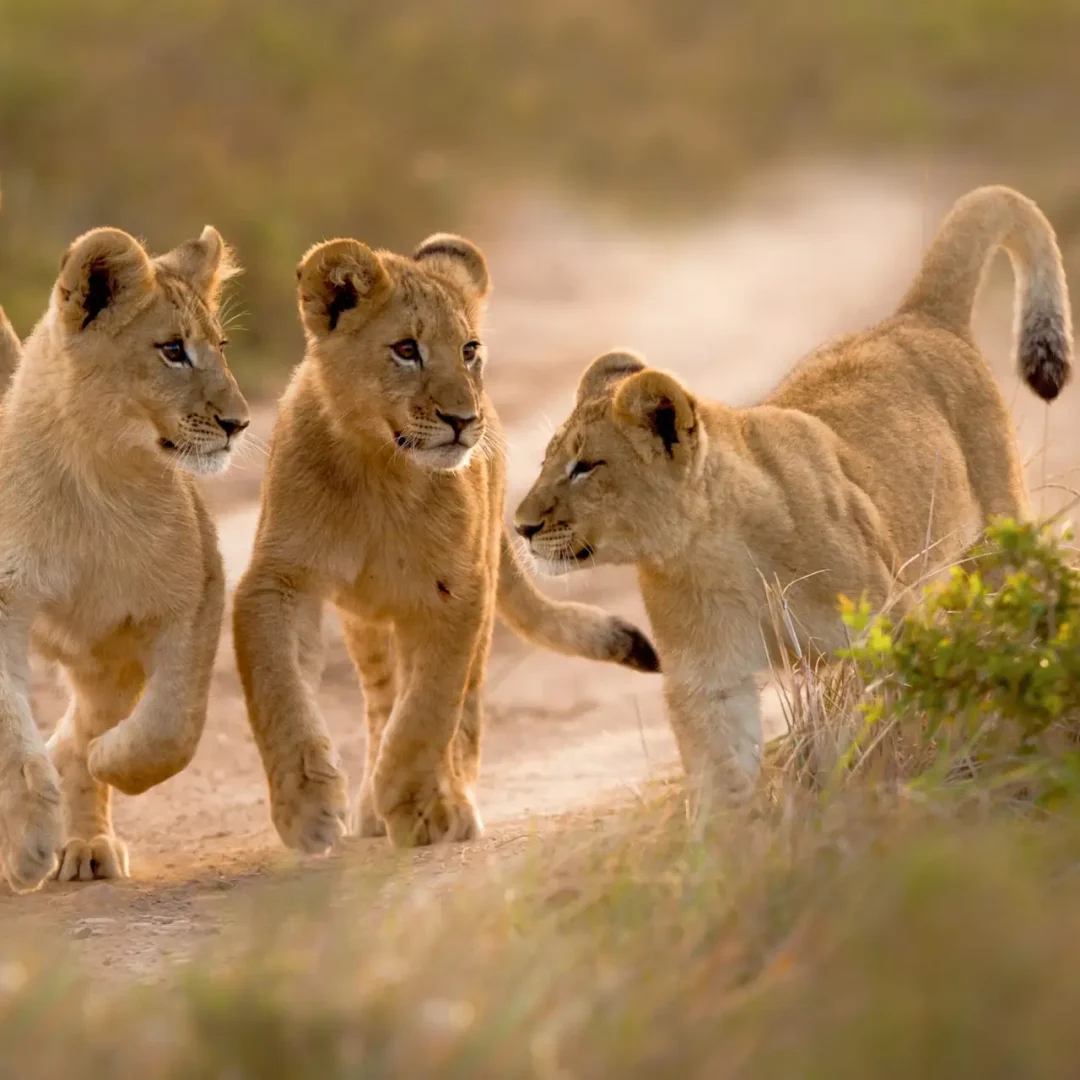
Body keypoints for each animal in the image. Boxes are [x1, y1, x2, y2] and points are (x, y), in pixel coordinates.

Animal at [0, 223, 249, 891]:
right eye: (172, 350)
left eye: (220, 347)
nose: (239, 422)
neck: (99, 482)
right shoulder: (4, 603)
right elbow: (12, 734)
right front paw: (28, 843)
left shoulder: (194, 595)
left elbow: (172, 725)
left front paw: (108, 759)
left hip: (102, 657)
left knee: (81, 728)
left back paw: (87, 842)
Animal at [232, 232, 659, 851]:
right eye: (406, 349)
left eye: (469, 350)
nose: (463, 419)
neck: (380, 470)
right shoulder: (278, 578)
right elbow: (279, 690)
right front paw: (307, 808)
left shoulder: (456, 589)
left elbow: (429, 707)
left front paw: (417, 802)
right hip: (367, 622)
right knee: (382, 698)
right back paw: (371, 806)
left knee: (463, 703)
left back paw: (443, 797)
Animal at [514, 185, 1073, 810]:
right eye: (547, 462)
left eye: (586, 467)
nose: (521, 526)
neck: (716, 551)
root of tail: (915, 316)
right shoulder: (710, 679)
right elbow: (721, 772)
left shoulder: (882, 629)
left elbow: (878, 726)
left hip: (994, 542)